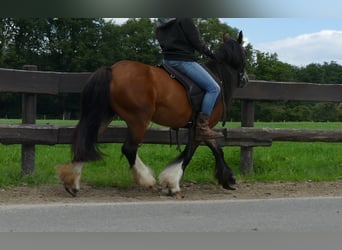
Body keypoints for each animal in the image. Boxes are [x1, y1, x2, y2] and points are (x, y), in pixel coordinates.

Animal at [57, 30, 247, 197]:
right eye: (245, 53)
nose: (245, 79)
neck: (218, 78)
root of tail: (111, 69)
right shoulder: (199, 128)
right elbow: (189, 154)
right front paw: (172, 184)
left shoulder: (202, 129)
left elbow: (217, 149)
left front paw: (229, 179)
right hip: (139, 120)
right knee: (129, 148)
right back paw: (146, 179)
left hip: (105, 116)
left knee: (87, 143)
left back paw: (72, 182)